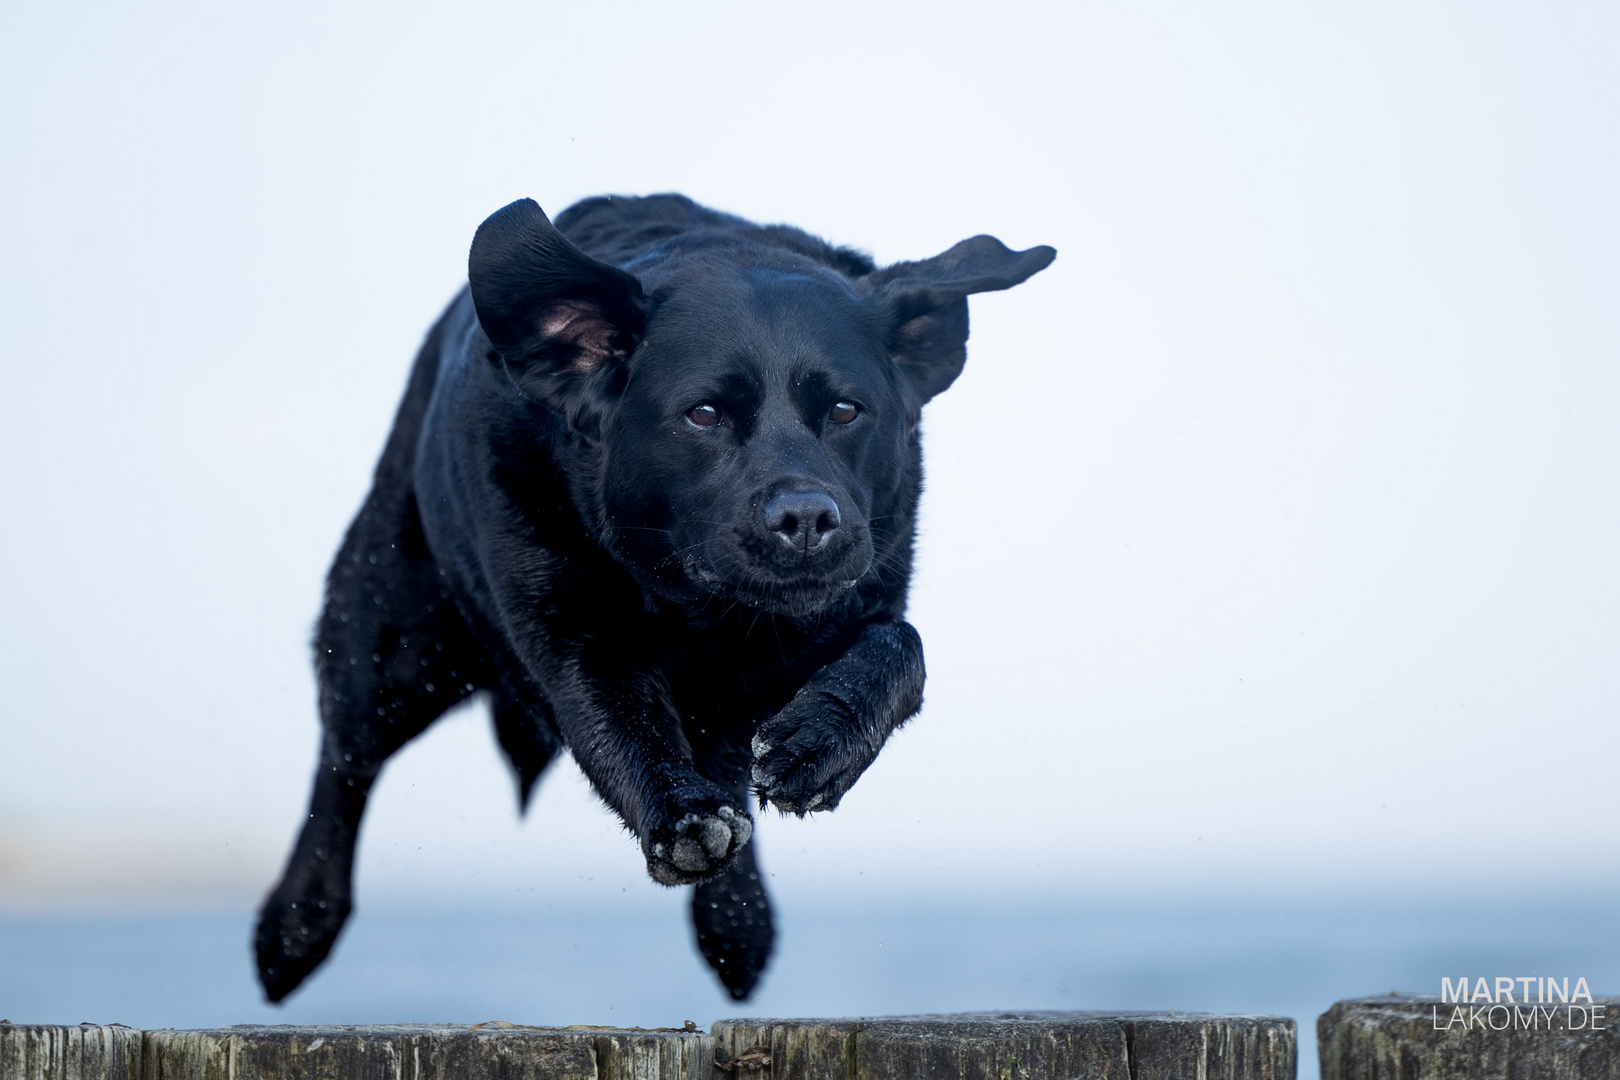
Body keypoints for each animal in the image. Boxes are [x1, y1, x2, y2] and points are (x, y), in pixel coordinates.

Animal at [252, 194, 1049, 1003]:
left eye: (847, 410)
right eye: (704, 414)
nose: (805, 518)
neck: (706, 615)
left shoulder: (861, 593)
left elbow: (899, 649)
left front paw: (818, 743)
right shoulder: (575, 642)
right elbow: (624, 728)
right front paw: (682, 818)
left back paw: (739, 920)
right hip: (391, 645)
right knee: (344, 764)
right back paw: (295, 926)